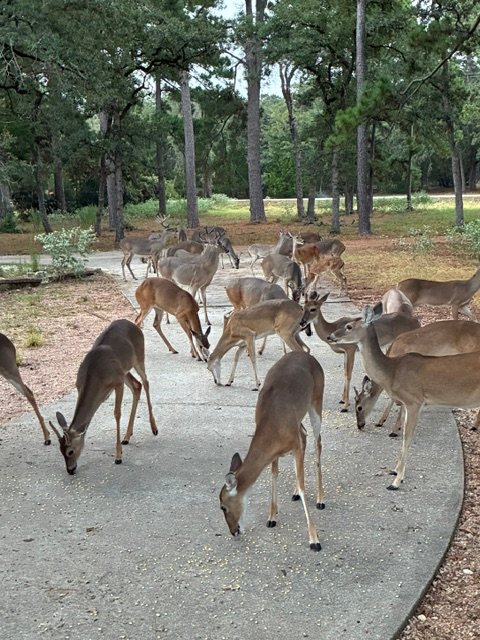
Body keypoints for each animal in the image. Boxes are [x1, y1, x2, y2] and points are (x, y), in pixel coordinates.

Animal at [49, 320, 158, 475]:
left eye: (70, 451)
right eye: (60, 450)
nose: (70, 470)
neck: (96, 377)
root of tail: (134, 325)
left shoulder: (117, 383)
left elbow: (117, 414)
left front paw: (118, 456)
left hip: (139, 357)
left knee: (145, 381)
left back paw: (154, 428)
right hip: (124, 370)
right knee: (137, 385)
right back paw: (127, 437)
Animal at [219, 351, 324, 551]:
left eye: (223, 507)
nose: (233, 531)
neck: (272, 425)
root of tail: (310, 356)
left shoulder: (294, 445)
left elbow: (303, 485)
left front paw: (314, 539)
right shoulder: (276, 452)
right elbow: (274, 473)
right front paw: (271, 518)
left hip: (317, 400)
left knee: (318, 443)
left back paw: (321, 499)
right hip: (300, 418)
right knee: (305, 434)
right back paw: (294, 494)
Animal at [327, 303, 480, 490]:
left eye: (348, 326)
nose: (330, 336)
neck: (393, 371)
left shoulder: (415, 401)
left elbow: (407, 438)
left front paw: (396, 481)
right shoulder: (408, 403)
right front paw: (395, 470)